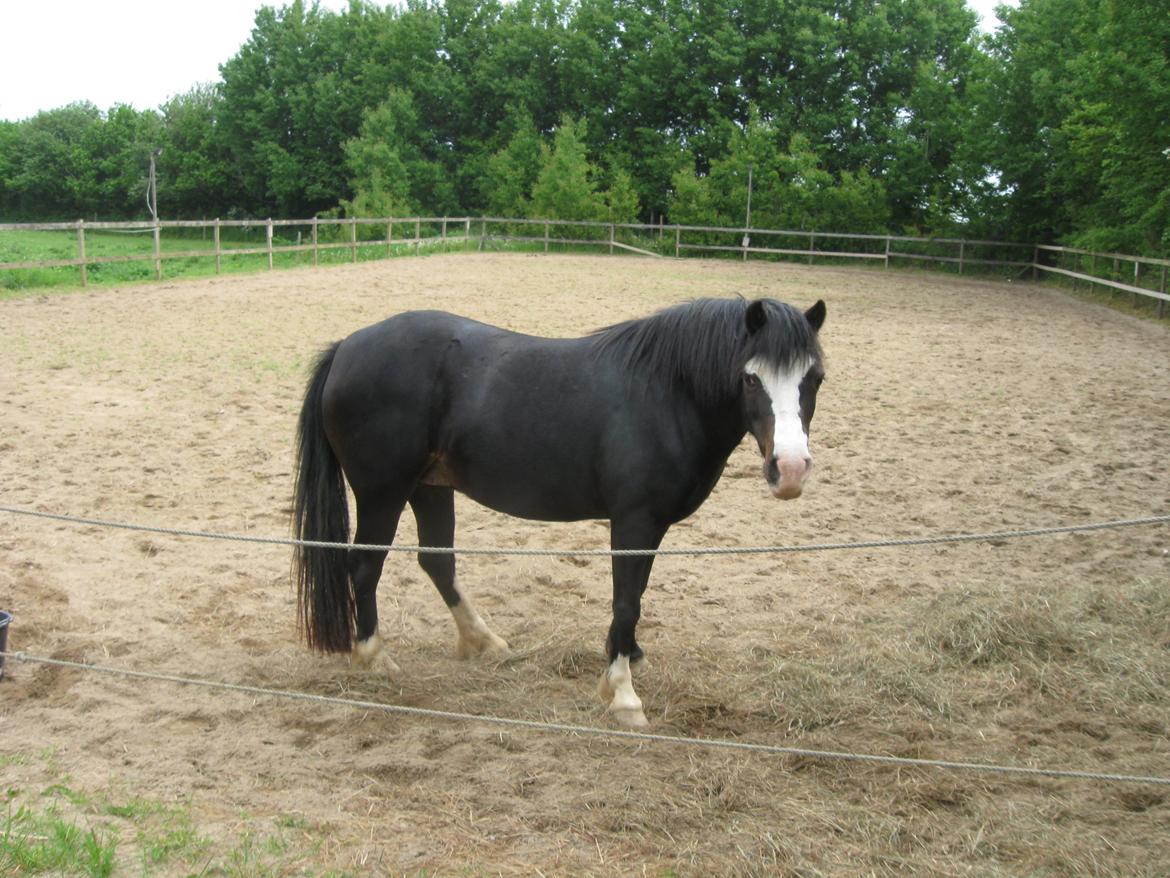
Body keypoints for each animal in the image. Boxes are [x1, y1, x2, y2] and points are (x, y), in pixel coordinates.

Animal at [297, 299, 828, 725]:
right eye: (750, 377)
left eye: (814, 378)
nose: (790, 469)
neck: (665, 392)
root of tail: (347, 347)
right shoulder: (634, 521)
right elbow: (626, 600)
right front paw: (623, 695)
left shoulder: (651, 526)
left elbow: (636, 594)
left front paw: (625, 658)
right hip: (382, 492)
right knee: (364, 568)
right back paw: (373, 656)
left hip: (429, 488)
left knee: (437, 562)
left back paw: (484, 642)